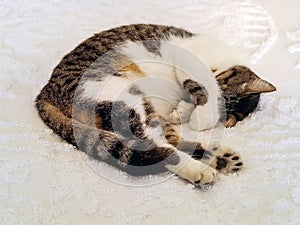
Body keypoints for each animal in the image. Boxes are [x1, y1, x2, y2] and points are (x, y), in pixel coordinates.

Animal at [35, 23, 276, 188]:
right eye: (223, 95)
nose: (190, 105)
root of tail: (44, 92)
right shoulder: (190, 63)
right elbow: (203, 85)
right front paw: (199, 114)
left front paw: (185, 112)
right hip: (124, 94)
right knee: (153, 147)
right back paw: (199, 168)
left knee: (165, 142)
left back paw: (221, 158)